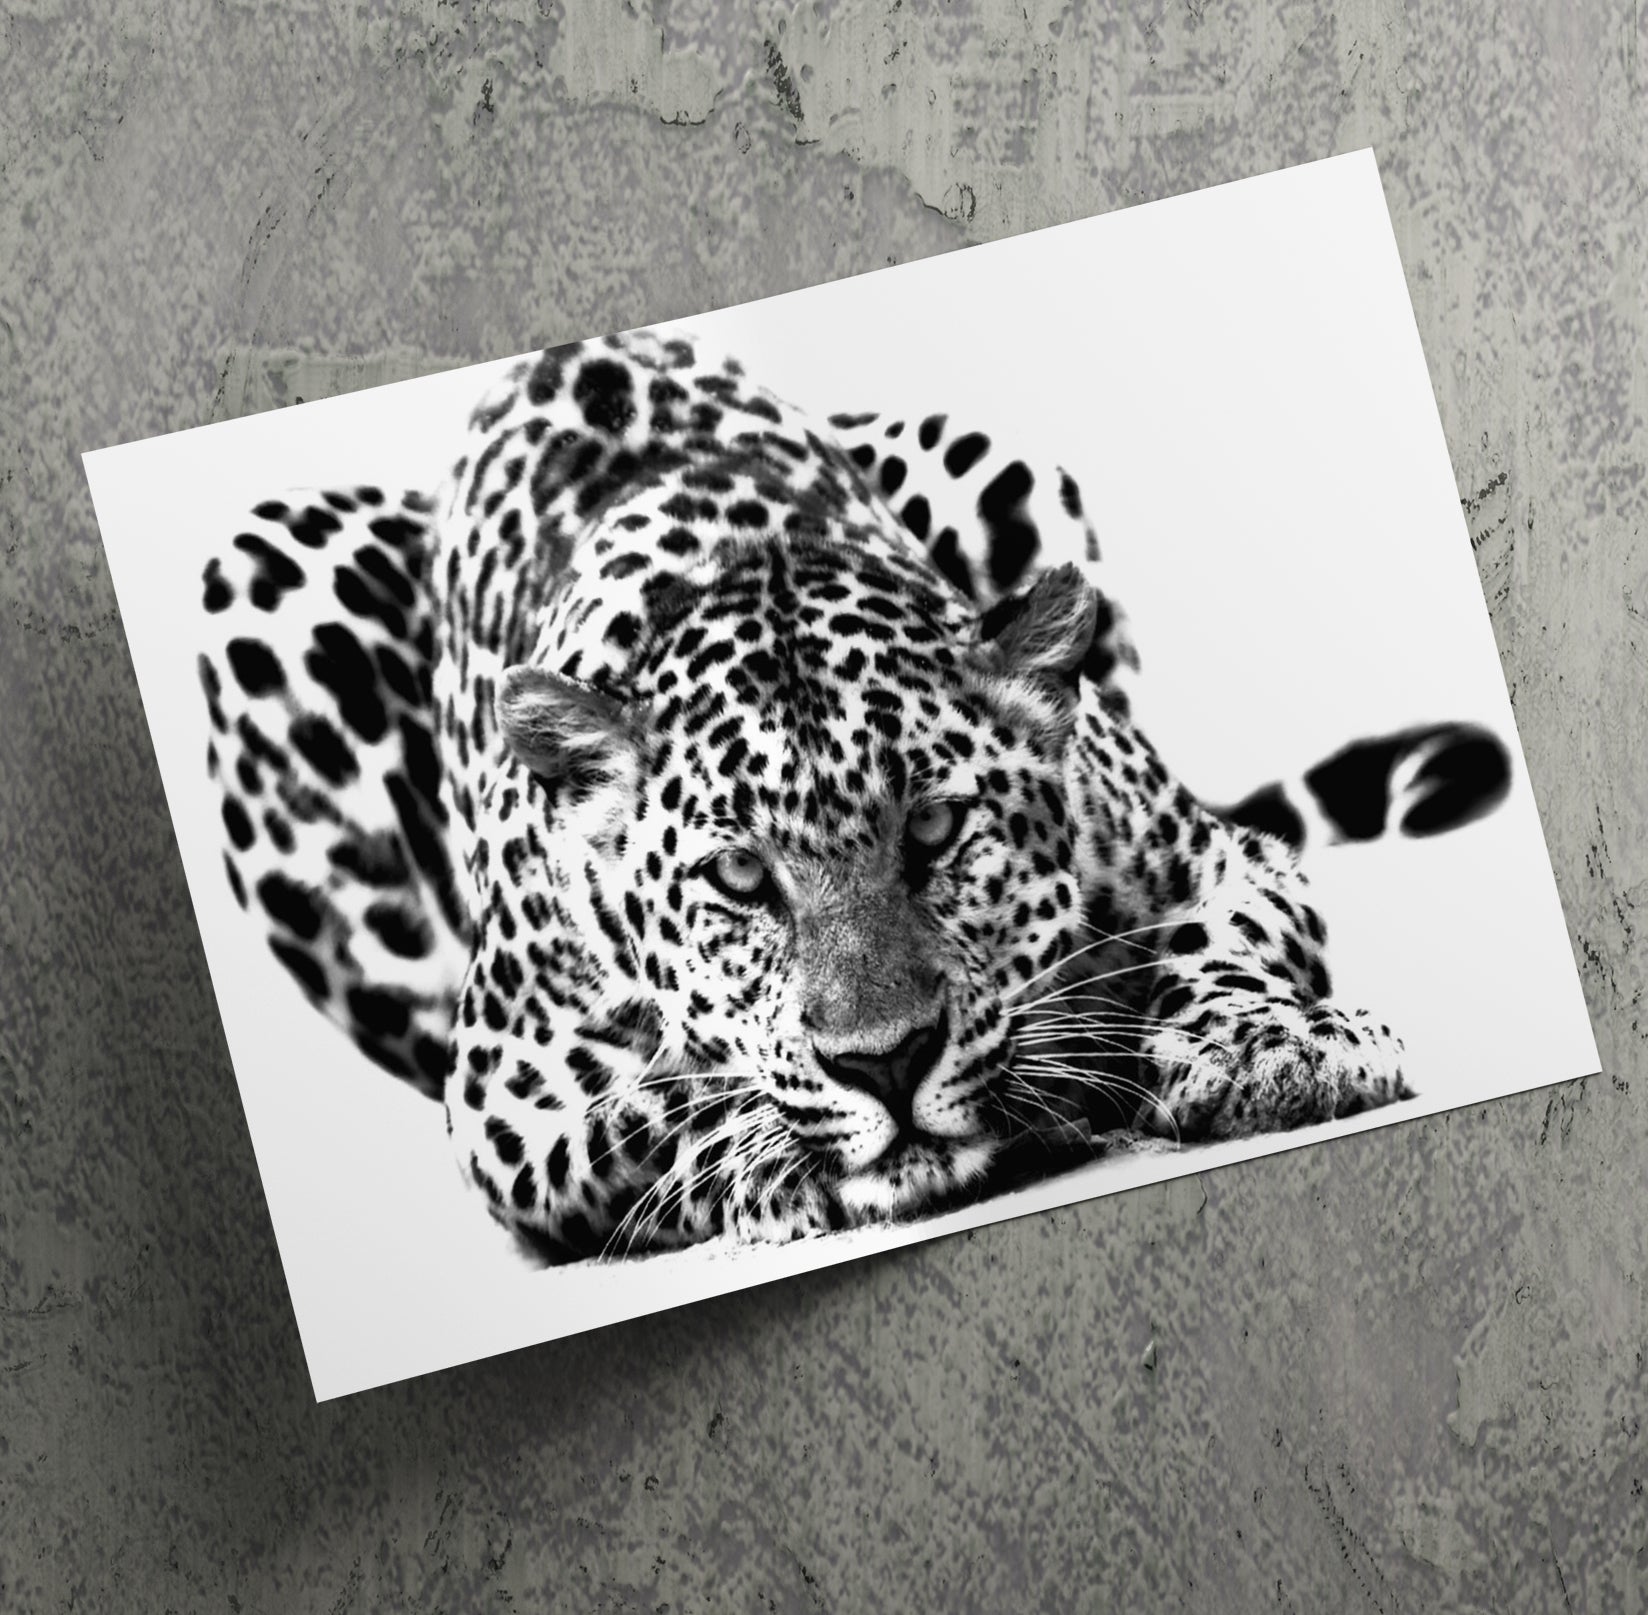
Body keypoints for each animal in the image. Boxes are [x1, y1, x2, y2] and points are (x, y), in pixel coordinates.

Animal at [197, 327, 1512, 1263]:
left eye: (933, 827)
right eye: (738, 876)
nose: (886, 1063)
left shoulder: (1215, 853)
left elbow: (1216, 940)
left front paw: (1268, 1043)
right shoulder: (504, 1095)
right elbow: (667, 1097)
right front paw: (778, 1150)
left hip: (997, 460)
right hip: (254, 577)